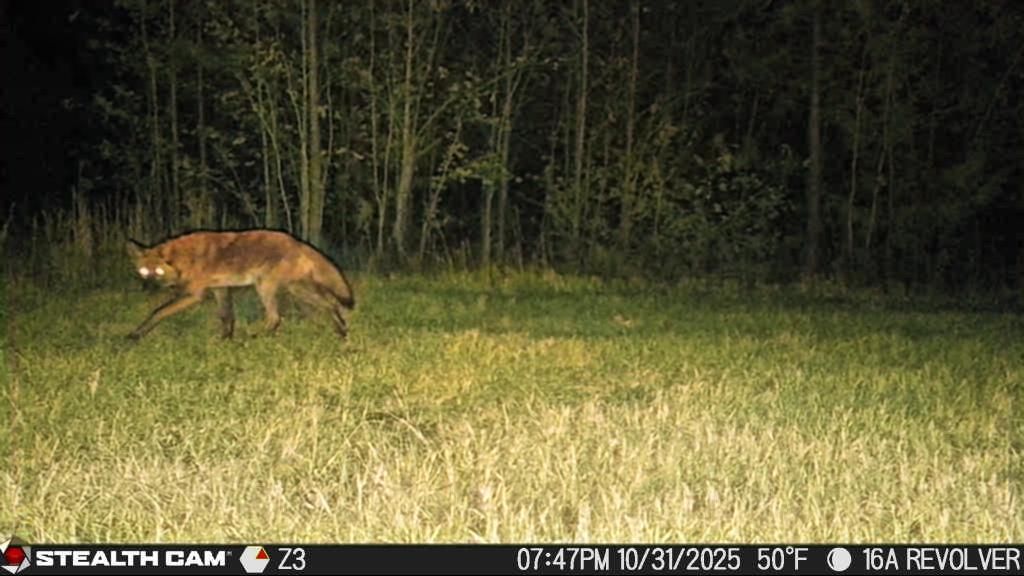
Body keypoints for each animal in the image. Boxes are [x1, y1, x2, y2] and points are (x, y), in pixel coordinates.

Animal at [126, 230, 355, 341]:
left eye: (158, 273)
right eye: (144, 272)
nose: (147, 290)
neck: (186, 259)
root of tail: (298, 243)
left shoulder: (194, 295)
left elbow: (158, 312)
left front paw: (136, 335)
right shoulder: (220, 289)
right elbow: (227, 317)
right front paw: (226, 340)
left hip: (265, 287)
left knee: (275, 318)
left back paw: (254, 338)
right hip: (296, 290)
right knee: (330, 305)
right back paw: (342, 332)